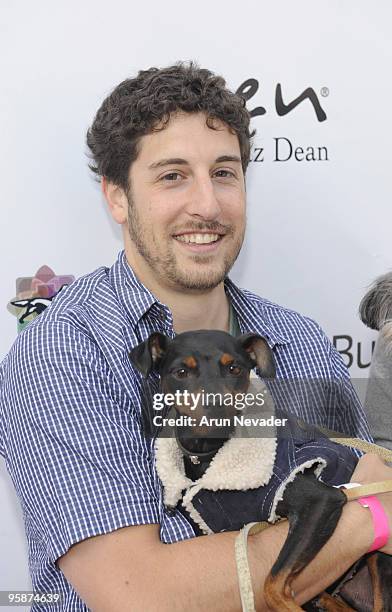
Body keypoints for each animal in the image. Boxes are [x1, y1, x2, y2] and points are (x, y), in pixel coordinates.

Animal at [130, 330, 390, 612]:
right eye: (180, 372)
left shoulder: (322, 500)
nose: (217, 408)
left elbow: (272, 584)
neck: (210, 453)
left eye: (234, 368)